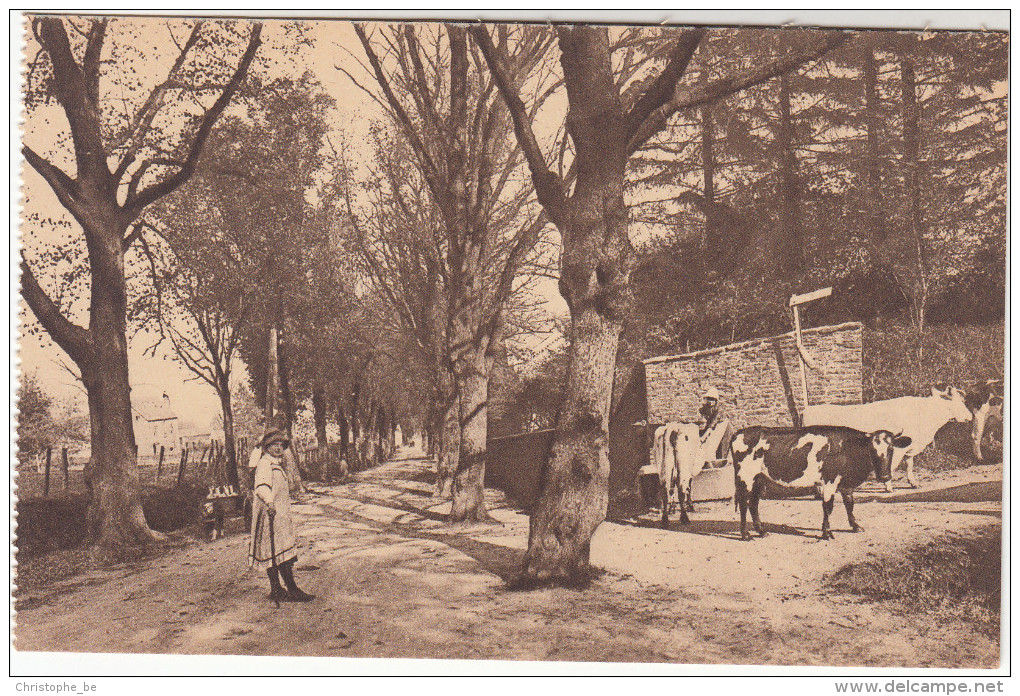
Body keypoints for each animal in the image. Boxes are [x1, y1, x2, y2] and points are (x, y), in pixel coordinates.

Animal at [730, 422, 913, 542]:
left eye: (891, 449)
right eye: (871, 450)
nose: (884, 477)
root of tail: (739, 432)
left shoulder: (846, 484)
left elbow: (850, 504)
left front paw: (855, 526)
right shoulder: (829, 481)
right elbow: (828, 506)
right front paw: (827, 533)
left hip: (759, 479)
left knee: (754, 503)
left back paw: (761, 531)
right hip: (745, 476)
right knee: (745, 503)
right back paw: (746, 535)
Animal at [803, 381, 971, 489]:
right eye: (960, 402)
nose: (970, 416)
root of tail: (807, 410)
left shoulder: (909, 446)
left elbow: (909, 465)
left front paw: (913, 483)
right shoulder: (897, 448)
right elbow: (893, 465)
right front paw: (888, 486)